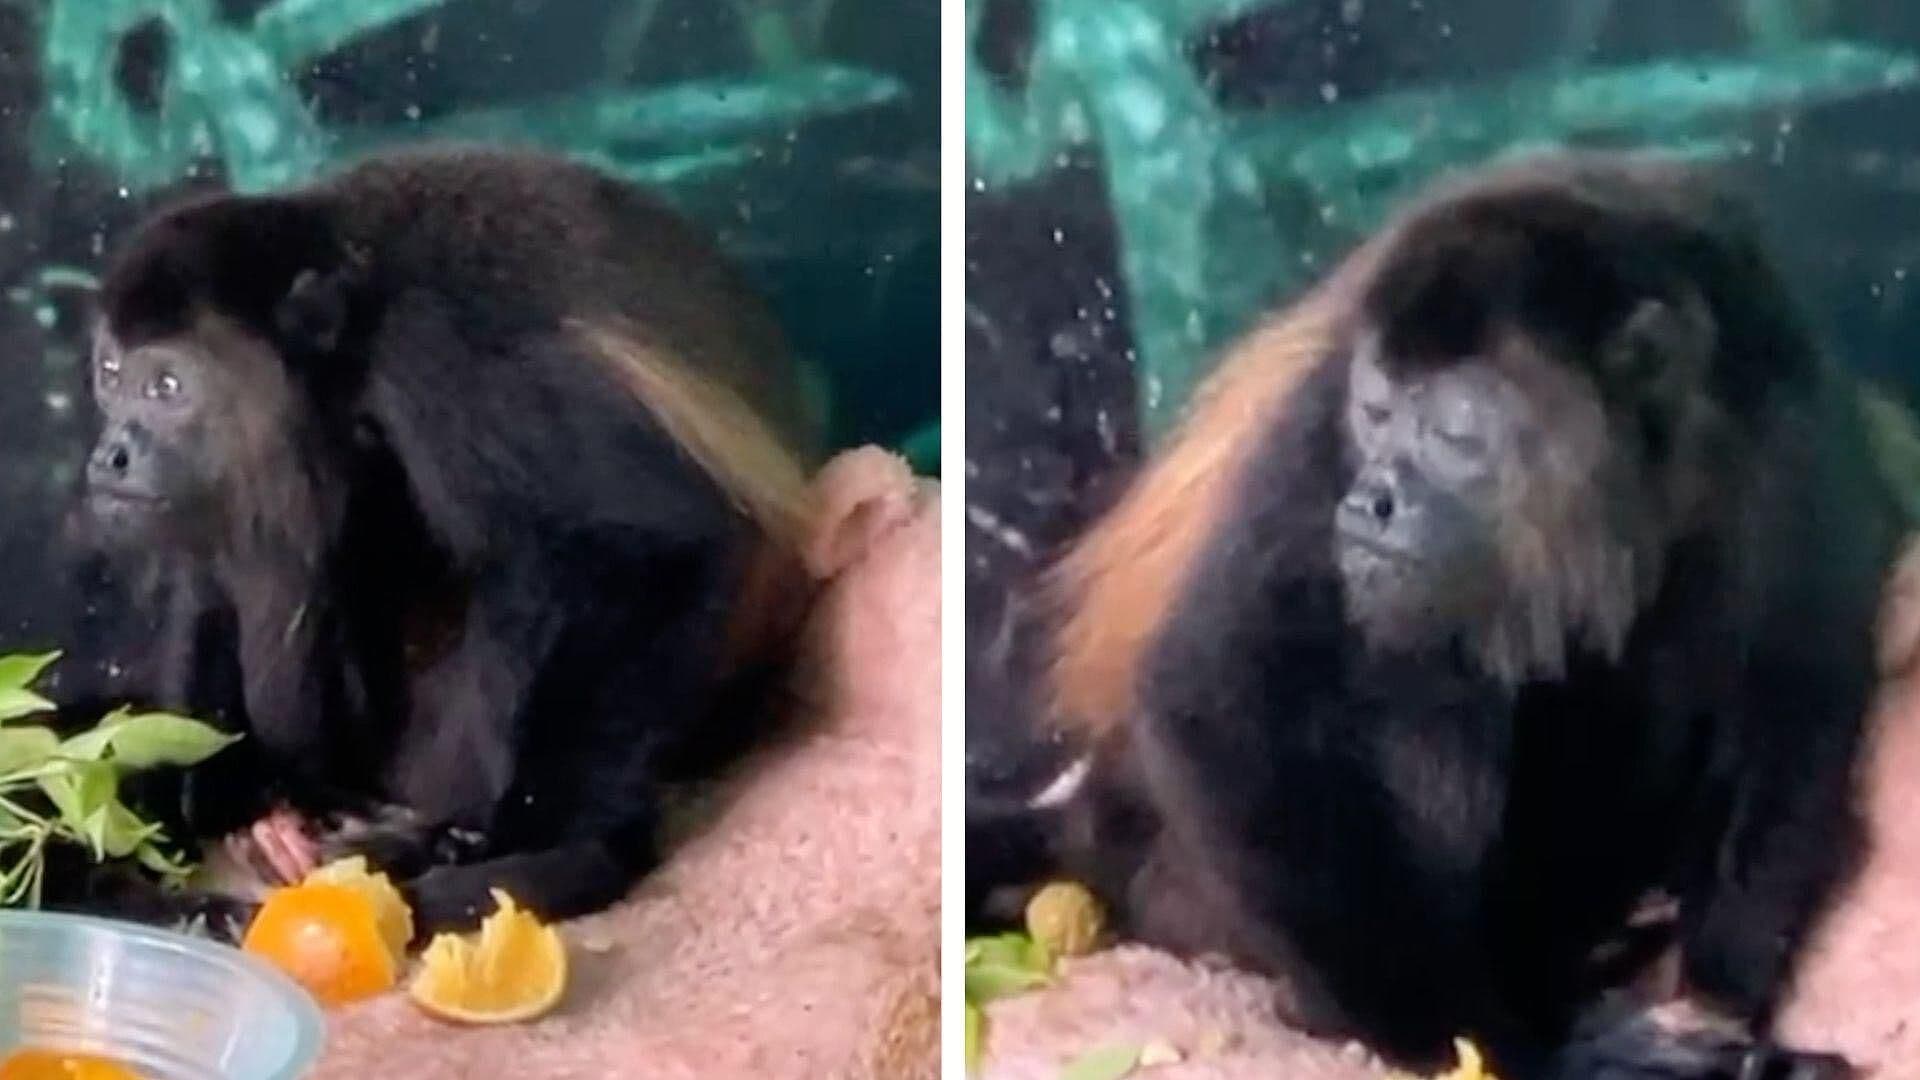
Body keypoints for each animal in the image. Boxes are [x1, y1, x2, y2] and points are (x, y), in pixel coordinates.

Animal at [65, 143, 821, 937]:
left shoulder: (445, 360)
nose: (110, 455)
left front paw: (543, 850)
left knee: (523, 575)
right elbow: (213, 578)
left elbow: (657, 549)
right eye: (111, 373)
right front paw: (221, 798)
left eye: (168, 385)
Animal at [970, 152, 1902, 1079]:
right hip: (1182, 886)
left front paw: (1719, 1014)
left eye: (1455, 432)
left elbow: (1790, 703)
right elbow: (1217, 691)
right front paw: (1512, 1052)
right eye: (1377, 410)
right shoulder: (1322, 412)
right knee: (1420, 669)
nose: (1371, 499)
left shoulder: (1786, 409)